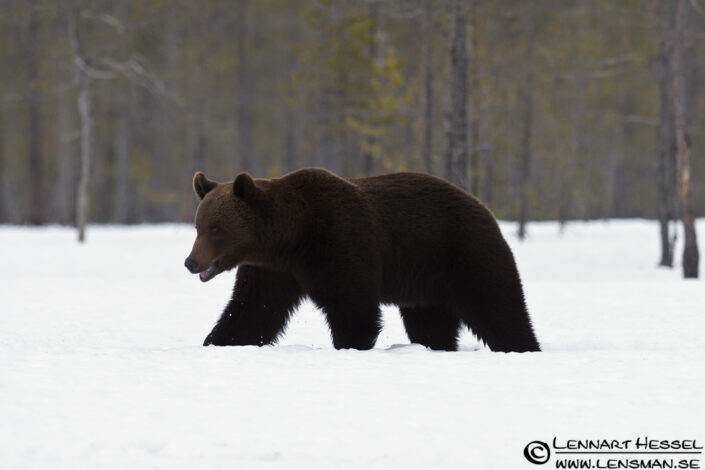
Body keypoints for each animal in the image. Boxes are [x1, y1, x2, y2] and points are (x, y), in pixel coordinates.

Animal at [184, 168, 540, 352]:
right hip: (426, 283)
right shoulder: (272, 271)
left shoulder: (339, 243)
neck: (290, 238)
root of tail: (482, 206)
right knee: (430, 322)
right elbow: (251, 311)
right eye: (198, 225)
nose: (191, 262)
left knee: (497, 307)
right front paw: (217, 341)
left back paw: (523, 346)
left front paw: (350, 345)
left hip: (463, 253)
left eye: (215, 228)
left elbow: (353, 307)